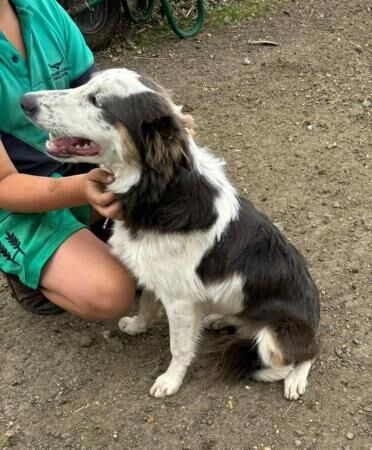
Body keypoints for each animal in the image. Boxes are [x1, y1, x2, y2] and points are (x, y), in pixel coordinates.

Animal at [20, 68, 322, 400]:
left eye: (98, 101)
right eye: (86, 83)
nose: (24, 101)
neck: (160, 193)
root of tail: (314, 319)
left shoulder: (179, 300)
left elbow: (179, 347)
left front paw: (171, 380)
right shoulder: (153, 274)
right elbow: (146, 304)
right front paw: (137, 325)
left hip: (276, 337)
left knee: (306, 353)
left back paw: (295, 379)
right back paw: (218, 319)